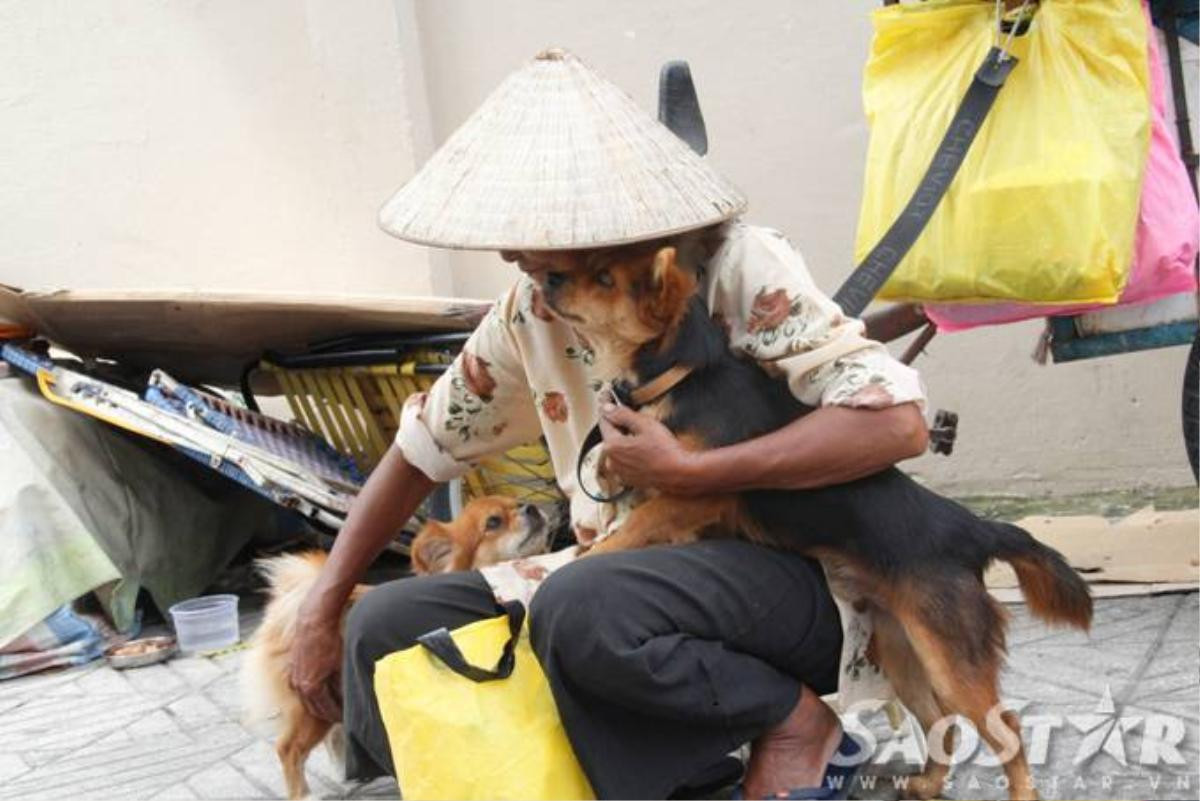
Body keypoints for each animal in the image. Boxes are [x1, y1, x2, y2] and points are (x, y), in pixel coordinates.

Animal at [242, 496, 556, 796]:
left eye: (518, 504)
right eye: (493, 522)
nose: (531, 507)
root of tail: (291, 600)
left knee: (333, 738)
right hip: (310, 706)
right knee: (288, 749)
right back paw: (305, 794)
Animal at [540, 245, 1094, 801]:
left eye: (604, 278)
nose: (547, 280)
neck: (685, 373)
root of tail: (971, 529)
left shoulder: (693, 488)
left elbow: (634, 527)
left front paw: (587, 557)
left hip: (950, 654)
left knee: (1007, 730)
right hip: (900, 645)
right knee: (940, 719)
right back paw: (926, 783)